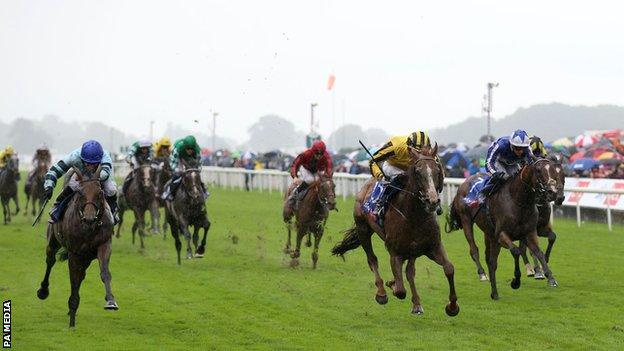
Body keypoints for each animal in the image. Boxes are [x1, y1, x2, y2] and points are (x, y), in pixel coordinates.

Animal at [36, 166, 118, 328]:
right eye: (80, 193)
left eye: (100, 193)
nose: (89, 218)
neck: (88, 228)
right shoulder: (74, 252)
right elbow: (73, 279)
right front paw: (72, 321)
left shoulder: (104, 244)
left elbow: (105, 273)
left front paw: (111, 301)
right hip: (53, 241)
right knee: (50, 261)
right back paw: (43, 291)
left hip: (87, 257)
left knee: (81, 274)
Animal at [332, 146, 458, 316]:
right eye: (418, 172)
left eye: (437, 170)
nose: (432, 201)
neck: (415, 216)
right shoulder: (394, 252)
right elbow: (400, 290)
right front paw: (391, 284)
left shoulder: (433, 246)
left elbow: (449, 268)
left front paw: (452, 307)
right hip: (363, 229)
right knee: (372, 260)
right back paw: (381, 293)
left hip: (412, 250)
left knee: (410, 271)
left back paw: (417, 304)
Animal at [446, 159, 560, 300]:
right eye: (538, 170)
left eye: (554, 170)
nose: (553, 192)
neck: (518, 201)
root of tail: (464, 182)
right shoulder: (501, 235)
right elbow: (516, 251)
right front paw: (516, 281)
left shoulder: (529, 233)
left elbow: (539, 253)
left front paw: (550, 277)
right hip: (467, 221)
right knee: (474, 250)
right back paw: (482, 274)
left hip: (488, 233)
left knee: (489, 258)